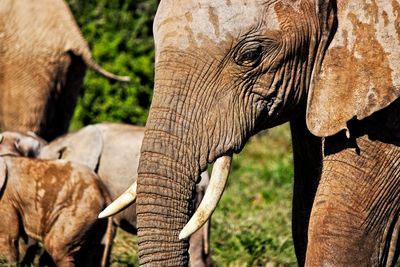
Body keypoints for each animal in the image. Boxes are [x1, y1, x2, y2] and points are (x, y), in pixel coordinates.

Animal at [0, 137, 111, 266]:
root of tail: (104, 191)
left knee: (58, 248)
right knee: (89, 252)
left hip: (82, 211)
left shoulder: (6, 197)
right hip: (96, 220)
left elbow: (7, 238)